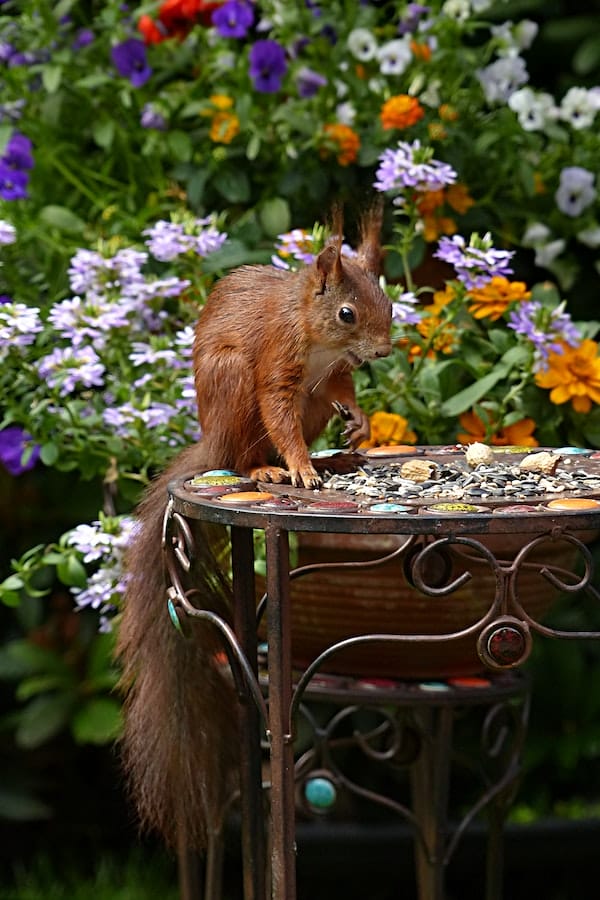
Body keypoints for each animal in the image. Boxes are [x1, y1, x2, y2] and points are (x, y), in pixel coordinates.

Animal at [116, 205, 392, 851]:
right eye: (347, 313)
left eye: (388, 298)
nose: (381, 352)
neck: (317, 337)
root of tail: (211, 439)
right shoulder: (275, 363)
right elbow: (279, 412)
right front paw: (297, 466)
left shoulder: (329, 377)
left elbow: (342, 389)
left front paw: (359, 423)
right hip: (232, 384)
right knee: (244, 452)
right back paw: (269, 467)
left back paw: (333, 459)